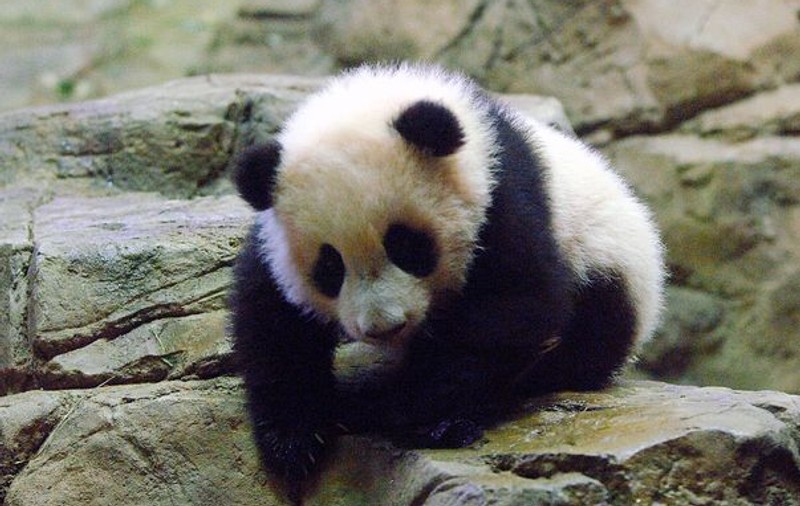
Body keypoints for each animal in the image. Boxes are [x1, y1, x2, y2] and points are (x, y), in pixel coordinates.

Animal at [230, 62, 665, 495]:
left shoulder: (501, 196)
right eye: (330, 268)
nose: (384, 327)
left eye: (407, 246)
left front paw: (398, 410)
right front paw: (294, 440)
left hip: (607, 266)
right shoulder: (273, 236)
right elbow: (273, 318)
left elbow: (513, 309)